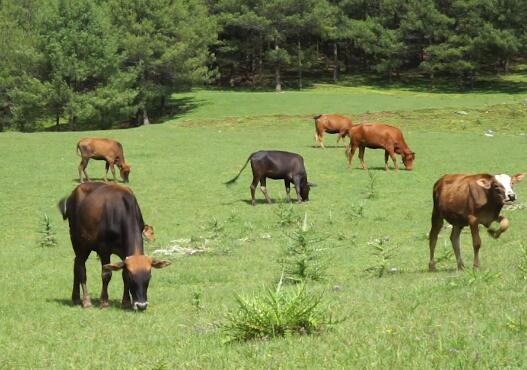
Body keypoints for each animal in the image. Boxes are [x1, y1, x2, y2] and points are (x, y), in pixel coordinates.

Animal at [59, 182, 171, 310]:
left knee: (76, 265)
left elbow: (122, 273)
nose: (141, 305)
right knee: (81, 268)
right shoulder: (104, 250)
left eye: (149, 276)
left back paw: (76, 297)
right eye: (131, 277)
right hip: (79, 243)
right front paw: (104, 302)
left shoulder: (124, 253)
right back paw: (86, 301)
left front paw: (126, 302)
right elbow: (106, 274)